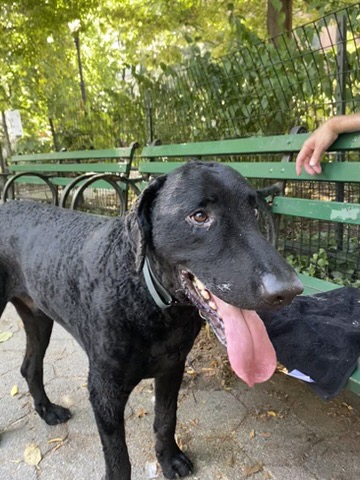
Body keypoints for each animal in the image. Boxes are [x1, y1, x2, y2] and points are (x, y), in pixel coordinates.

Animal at [0, 162, 304, 480]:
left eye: (254, 212)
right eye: (199, 216)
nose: (289, 290)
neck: (150, 302)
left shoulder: (172, 368)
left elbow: (166, 419)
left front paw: (169, 459)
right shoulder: (104, 390)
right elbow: (118, 458)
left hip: (38, 318)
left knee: (30, 367)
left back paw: (47, 410)